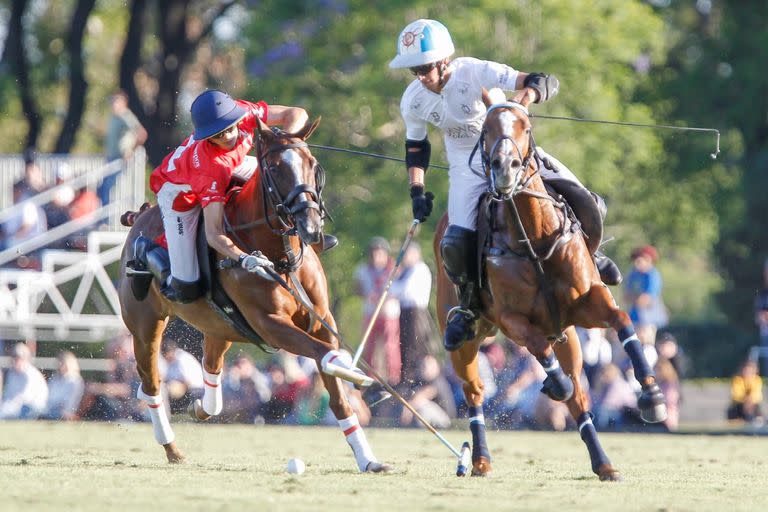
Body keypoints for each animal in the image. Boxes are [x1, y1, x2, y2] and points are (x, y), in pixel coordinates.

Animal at [120, 120, 390, 472]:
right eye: (274, 169)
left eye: (313, 164)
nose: (310, 226)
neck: (282, 258)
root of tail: (141, 215)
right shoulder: (270, 325)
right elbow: (327, 355)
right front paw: (364, 380)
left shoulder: (321, 320)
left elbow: (337, 390)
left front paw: (368, 458)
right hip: (145, 325)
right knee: (151, 384)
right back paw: (172, 448)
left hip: (219, 326)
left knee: (210, 366)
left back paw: (201, 408)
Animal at [438, 94, 664, 482]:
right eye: (486, 129)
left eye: (526, 126)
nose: (505, 168)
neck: (534, 239)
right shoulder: (512, 319)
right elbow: (540, 351)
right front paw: (552, 383)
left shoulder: (588, 302)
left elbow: (622, 322)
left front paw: (652, 396)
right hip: (468, 336)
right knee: (475, 391)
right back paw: (479, 460)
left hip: (569, 337)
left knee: (579, 399)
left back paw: (604, 464)